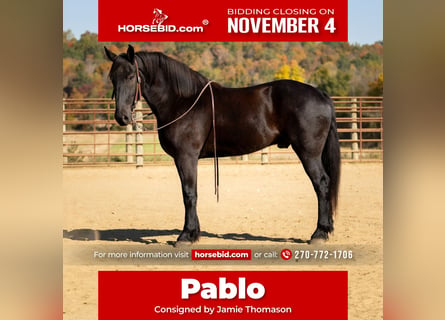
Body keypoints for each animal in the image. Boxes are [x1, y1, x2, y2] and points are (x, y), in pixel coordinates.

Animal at [104, 45, 340, 244]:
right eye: (112, 77)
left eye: (130, 76)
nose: (121, 117)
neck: (182, 101)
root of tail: (320, 94)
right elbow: (191, 193)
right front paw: (194, 232)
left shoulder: (186, 157)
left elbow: (189, 194)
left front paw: (186, 236)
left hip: (308, 153)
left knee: (322, 184)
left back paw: (319, 233)